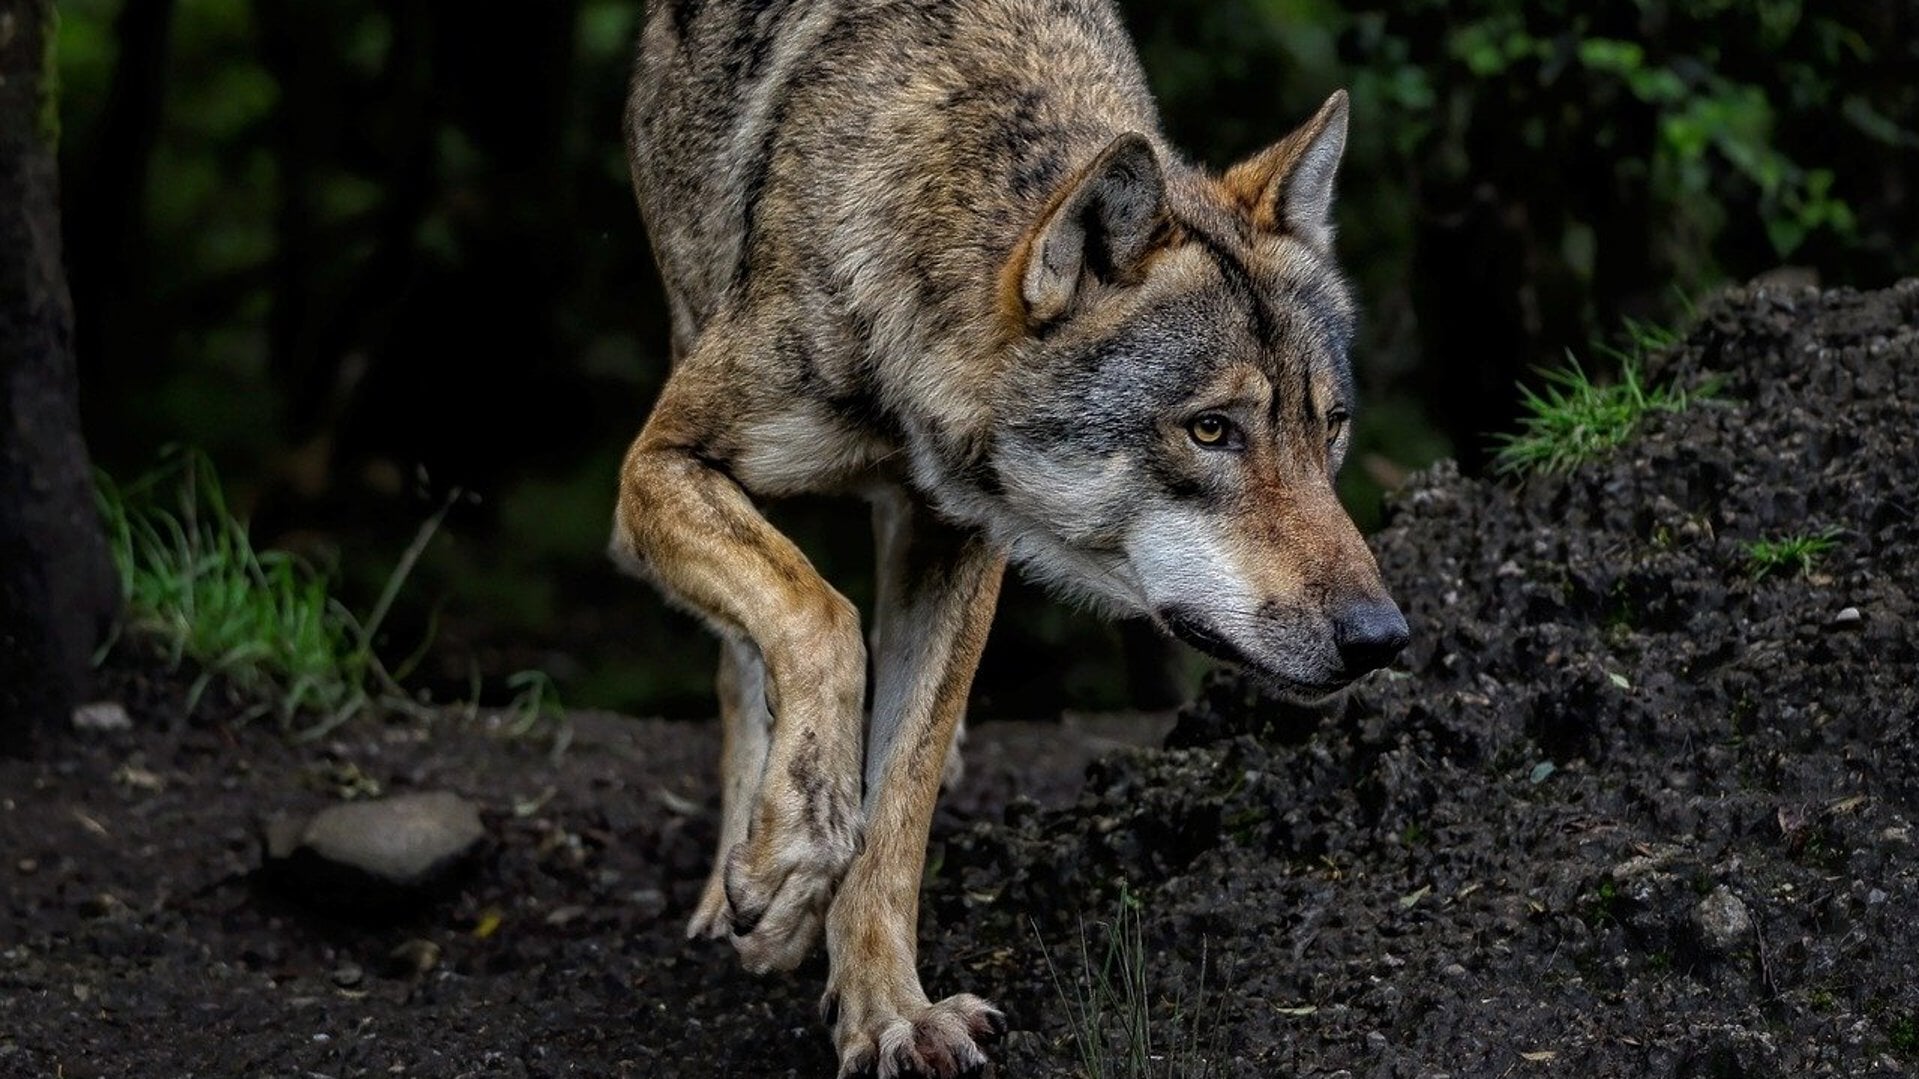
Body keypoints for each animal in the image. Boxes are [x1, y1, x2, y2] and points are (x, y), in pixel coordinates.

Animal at [611, 0, 1408, 1074]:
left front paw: (887, 1012)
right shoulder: (656, 467)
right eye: (1211, 430)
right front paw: (788, 861)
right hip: (688, 330)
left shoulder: (958, 535)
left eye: (1329, 428)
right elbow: (819, 618)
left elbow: (899, 800)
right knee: (747, 658)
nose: (1382, 638)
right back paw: (741, 871)